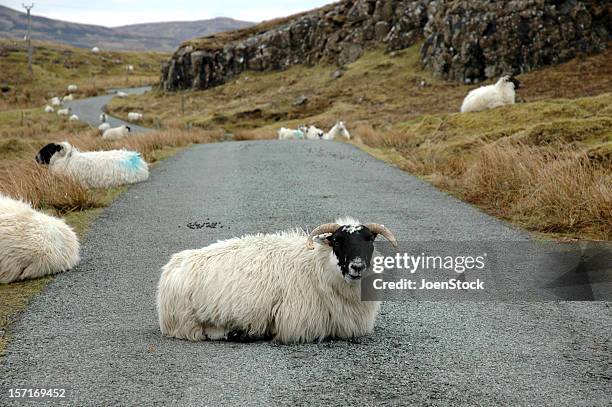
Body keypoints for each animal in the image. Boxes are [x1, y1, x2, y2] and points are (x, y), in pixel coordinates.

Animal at [155, 217, 400, 344]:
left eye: (369, 240)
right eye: (338, 241)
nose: (357, 266)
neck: (315, 266)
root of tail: (171, 267)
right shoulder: (296, 324)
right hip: (186, 321)